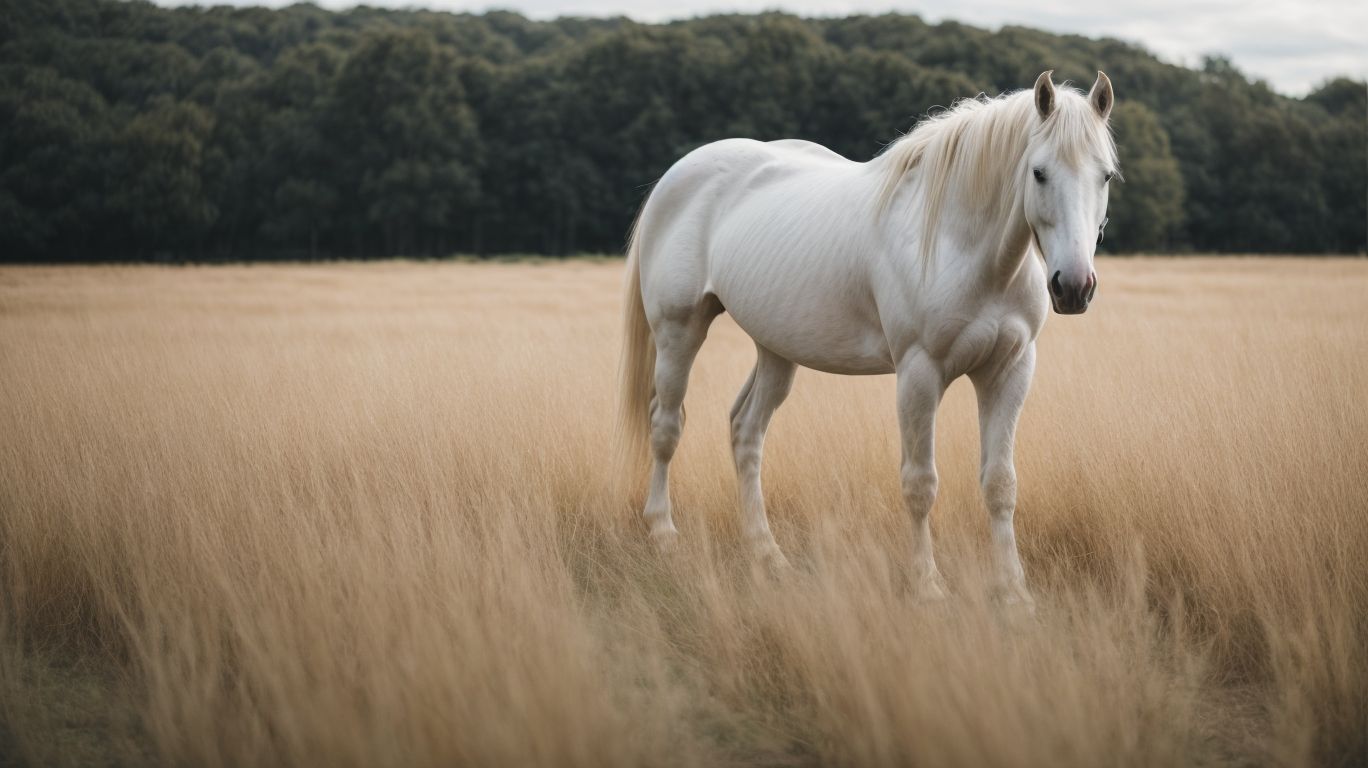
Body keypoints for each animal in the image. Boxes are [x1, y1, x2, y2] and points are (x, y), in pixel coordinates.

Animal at [616, 71, 1117, 605]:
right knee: (666, 426)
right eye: (1039, 173)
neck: (960, 244)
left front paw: (1014, 593)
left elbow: (1000, 484)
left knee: (745, 432)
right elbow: (920, 484)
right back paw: (663, 533)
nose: (1073, 287)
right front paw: (927, 585)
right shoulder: (919, 374)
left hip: (776, 350)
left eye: (1105, 175)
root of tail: (677, 176)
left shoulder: (1010, 371)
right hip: (678, 332)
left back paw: (766, 554)